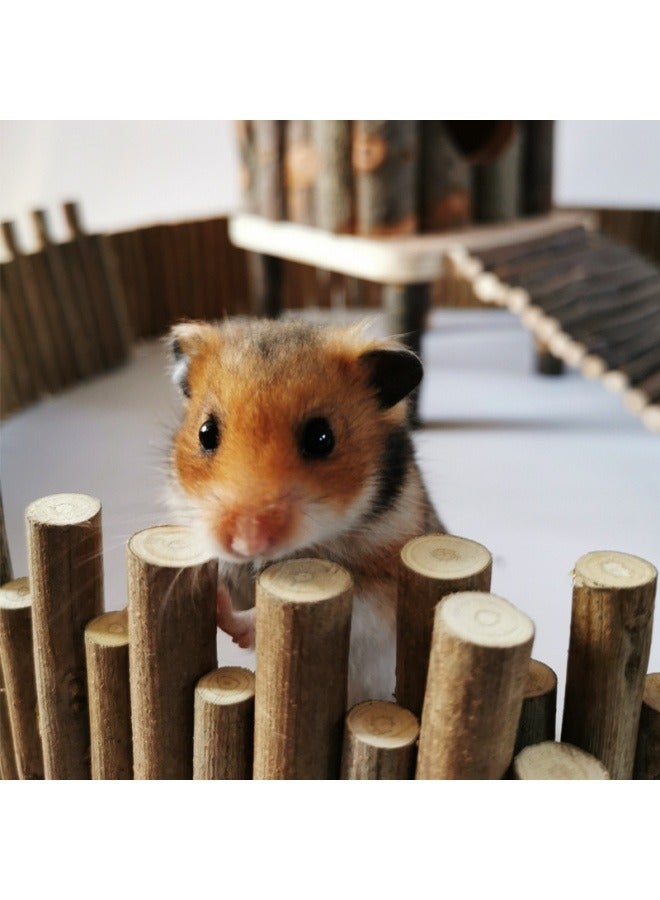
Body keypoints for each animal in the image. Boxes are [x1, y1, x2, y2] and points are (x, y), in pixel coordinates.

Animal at [166, 317, 444, 705]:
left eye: (321, 437)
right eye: (206, 432)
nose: (247, 543)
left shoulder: (382, 594)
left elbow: (346, 611)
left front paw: (233, 622)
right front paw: (216, 597)